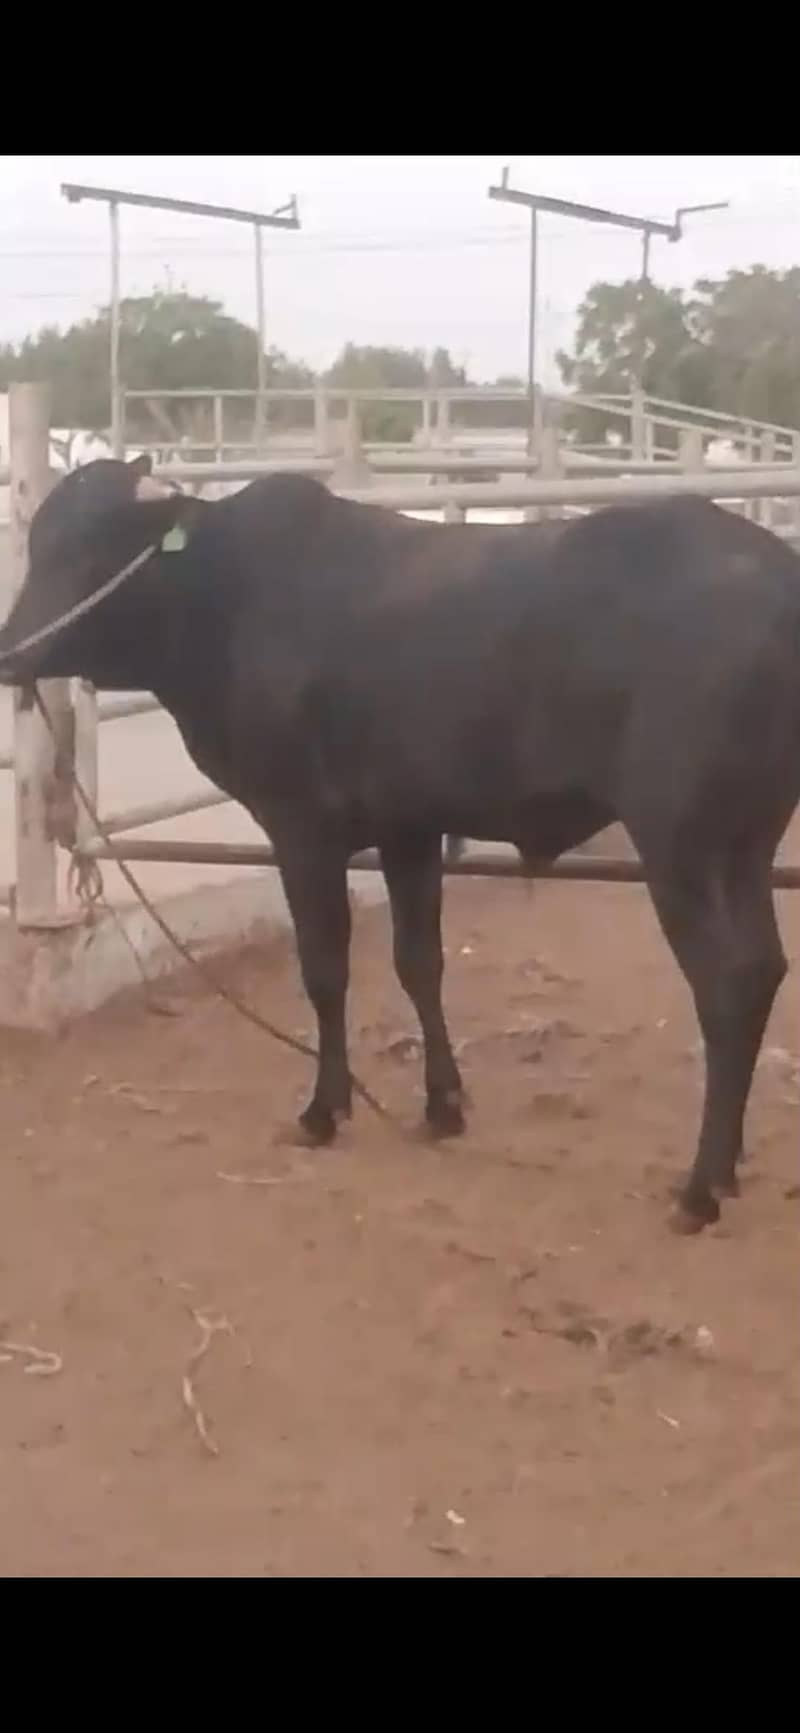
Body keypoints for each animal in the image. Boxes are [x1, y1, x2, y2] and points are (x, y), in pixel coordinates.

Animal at [2, 454, 799, 1235]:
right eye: (38, 545)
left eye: (92, 548)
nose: (11, 652)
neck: (228, 594)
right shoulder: (408, 827)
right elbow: (420, 963)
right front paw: (442, 1105)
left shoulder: (302, 827)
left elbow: (326, 969)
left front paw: (324, 1110)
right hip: (744, 846)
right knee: (763, 968)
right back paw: (726, 1167)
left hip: (680, 844)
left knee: (726, 983)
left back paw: (698, 1188)